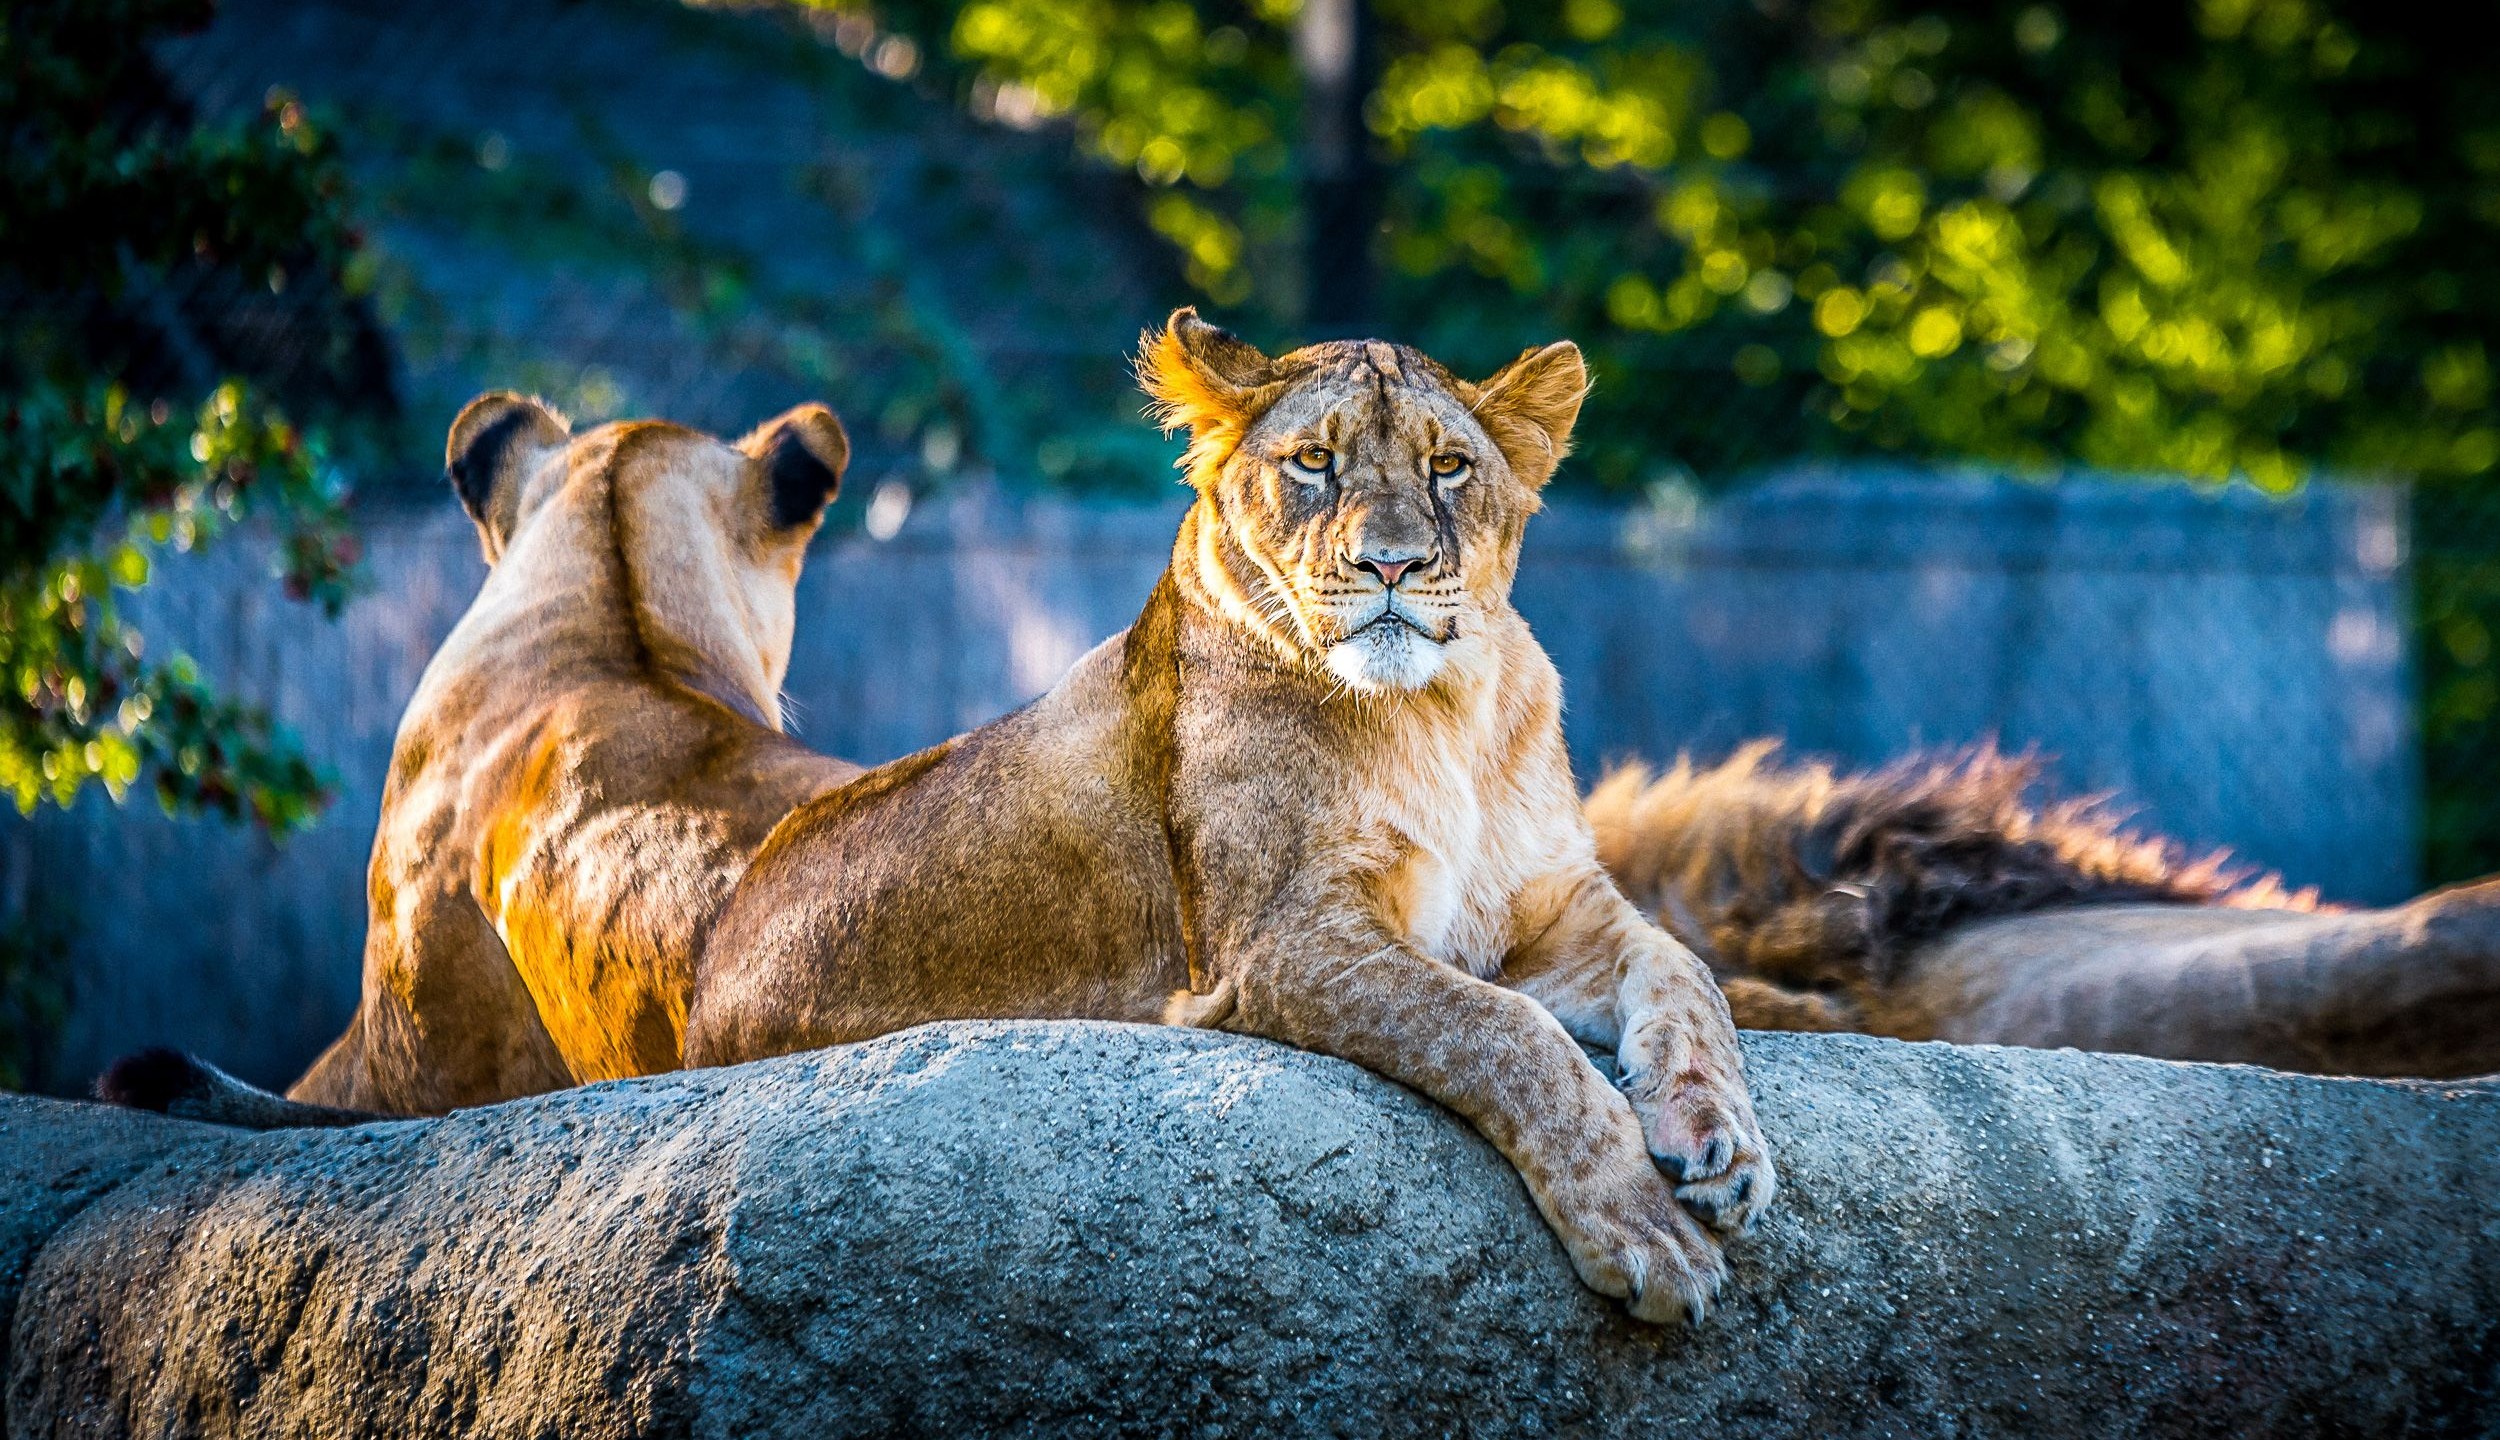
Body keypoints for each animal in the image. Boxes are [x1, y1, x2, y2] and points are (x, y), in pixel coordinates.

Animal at [682, 311, 1774, 1326]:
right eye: (1315, 462)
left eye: (1448, 466)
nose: (1391, 565)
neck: (1441, 712)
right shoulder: (1281, 942)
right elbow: (1507, 1033)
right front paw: (1642, 1229)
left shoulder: (1544, 906)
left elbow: (1687, 970)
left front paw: (1718, 1143)